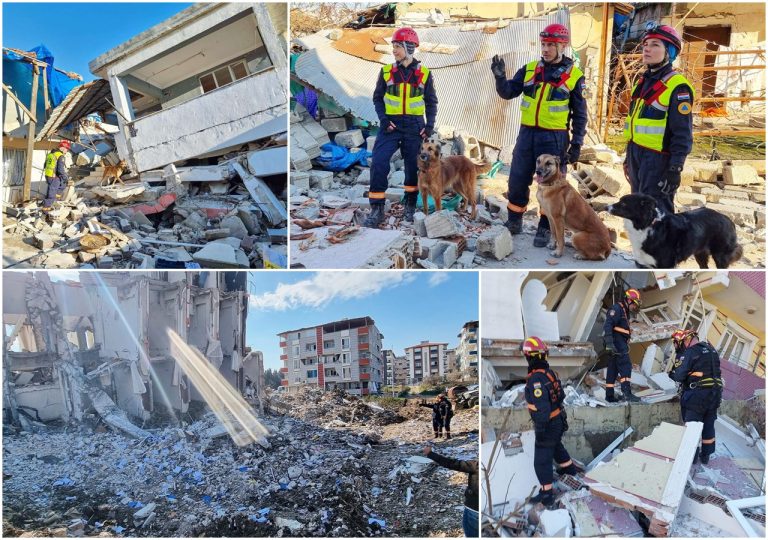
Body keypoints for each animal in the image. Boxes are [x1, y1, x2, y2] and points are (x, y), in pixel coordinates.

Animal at [608, 194, 740, 270]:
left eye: (623, 203)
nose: (606, 207)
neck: (648, 226)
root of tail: (728, 219)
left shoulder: (665, 265)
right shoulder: (646, 264)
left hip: (720, 256)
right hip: (700, 253)